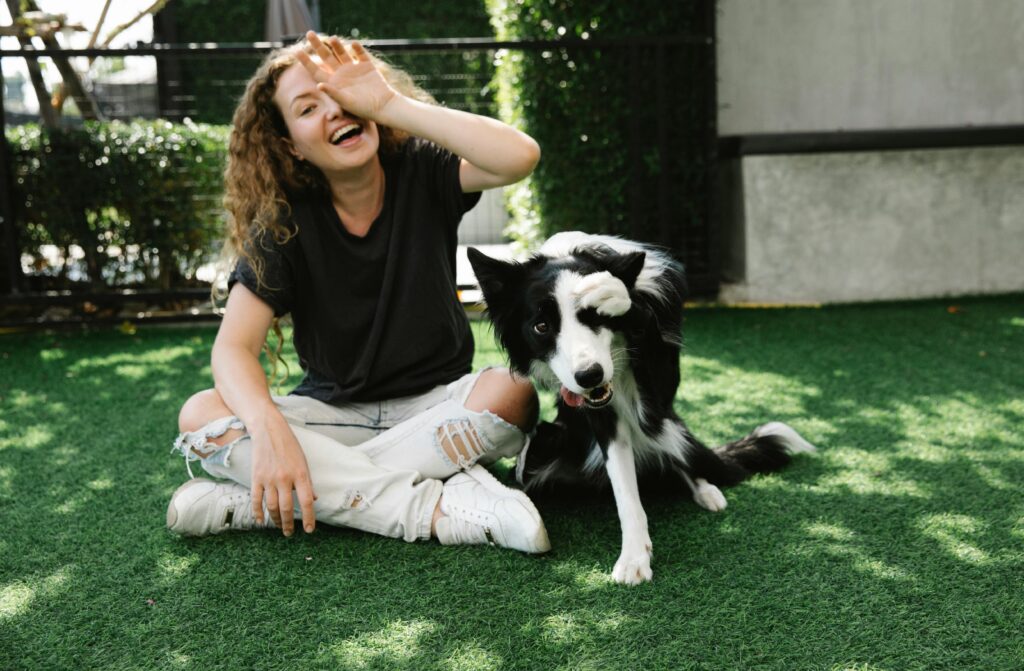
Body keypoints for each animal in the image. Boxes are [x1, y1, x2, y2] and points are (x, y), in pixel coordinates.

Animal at [466, 233, 815, 585]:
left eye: (597, 318)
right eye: (541, 327)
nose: (589, 376)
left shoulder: (660, 387)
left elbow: (637, 312)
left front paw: (612, 290)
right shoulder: (602, 417)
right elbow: (625, 490)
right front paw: (635, 557)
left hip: (670, 426)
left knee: (682, 455)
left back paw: (706, 490)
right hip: (545, 443)